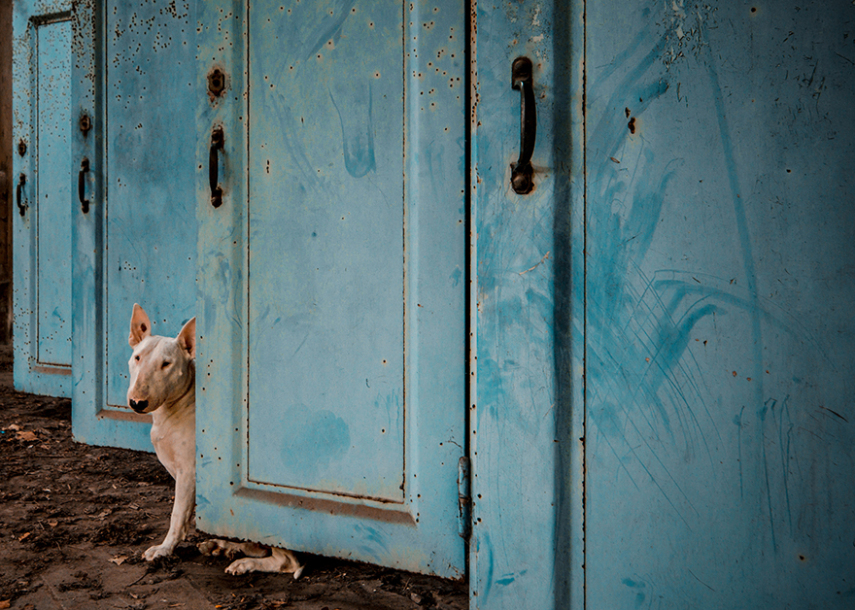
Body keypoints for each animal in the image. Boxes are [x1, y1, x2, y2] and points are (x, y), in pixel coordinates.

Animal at [125, 304, 302, 576]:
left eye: (166, 364)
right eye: (137, 358)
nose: (137, 402)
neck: (175, 408)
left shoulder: (189, 470)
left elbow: (177, 514)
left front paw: (164, 549)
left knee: (286, 562)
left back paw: (243, 562)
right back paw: (224, 546)